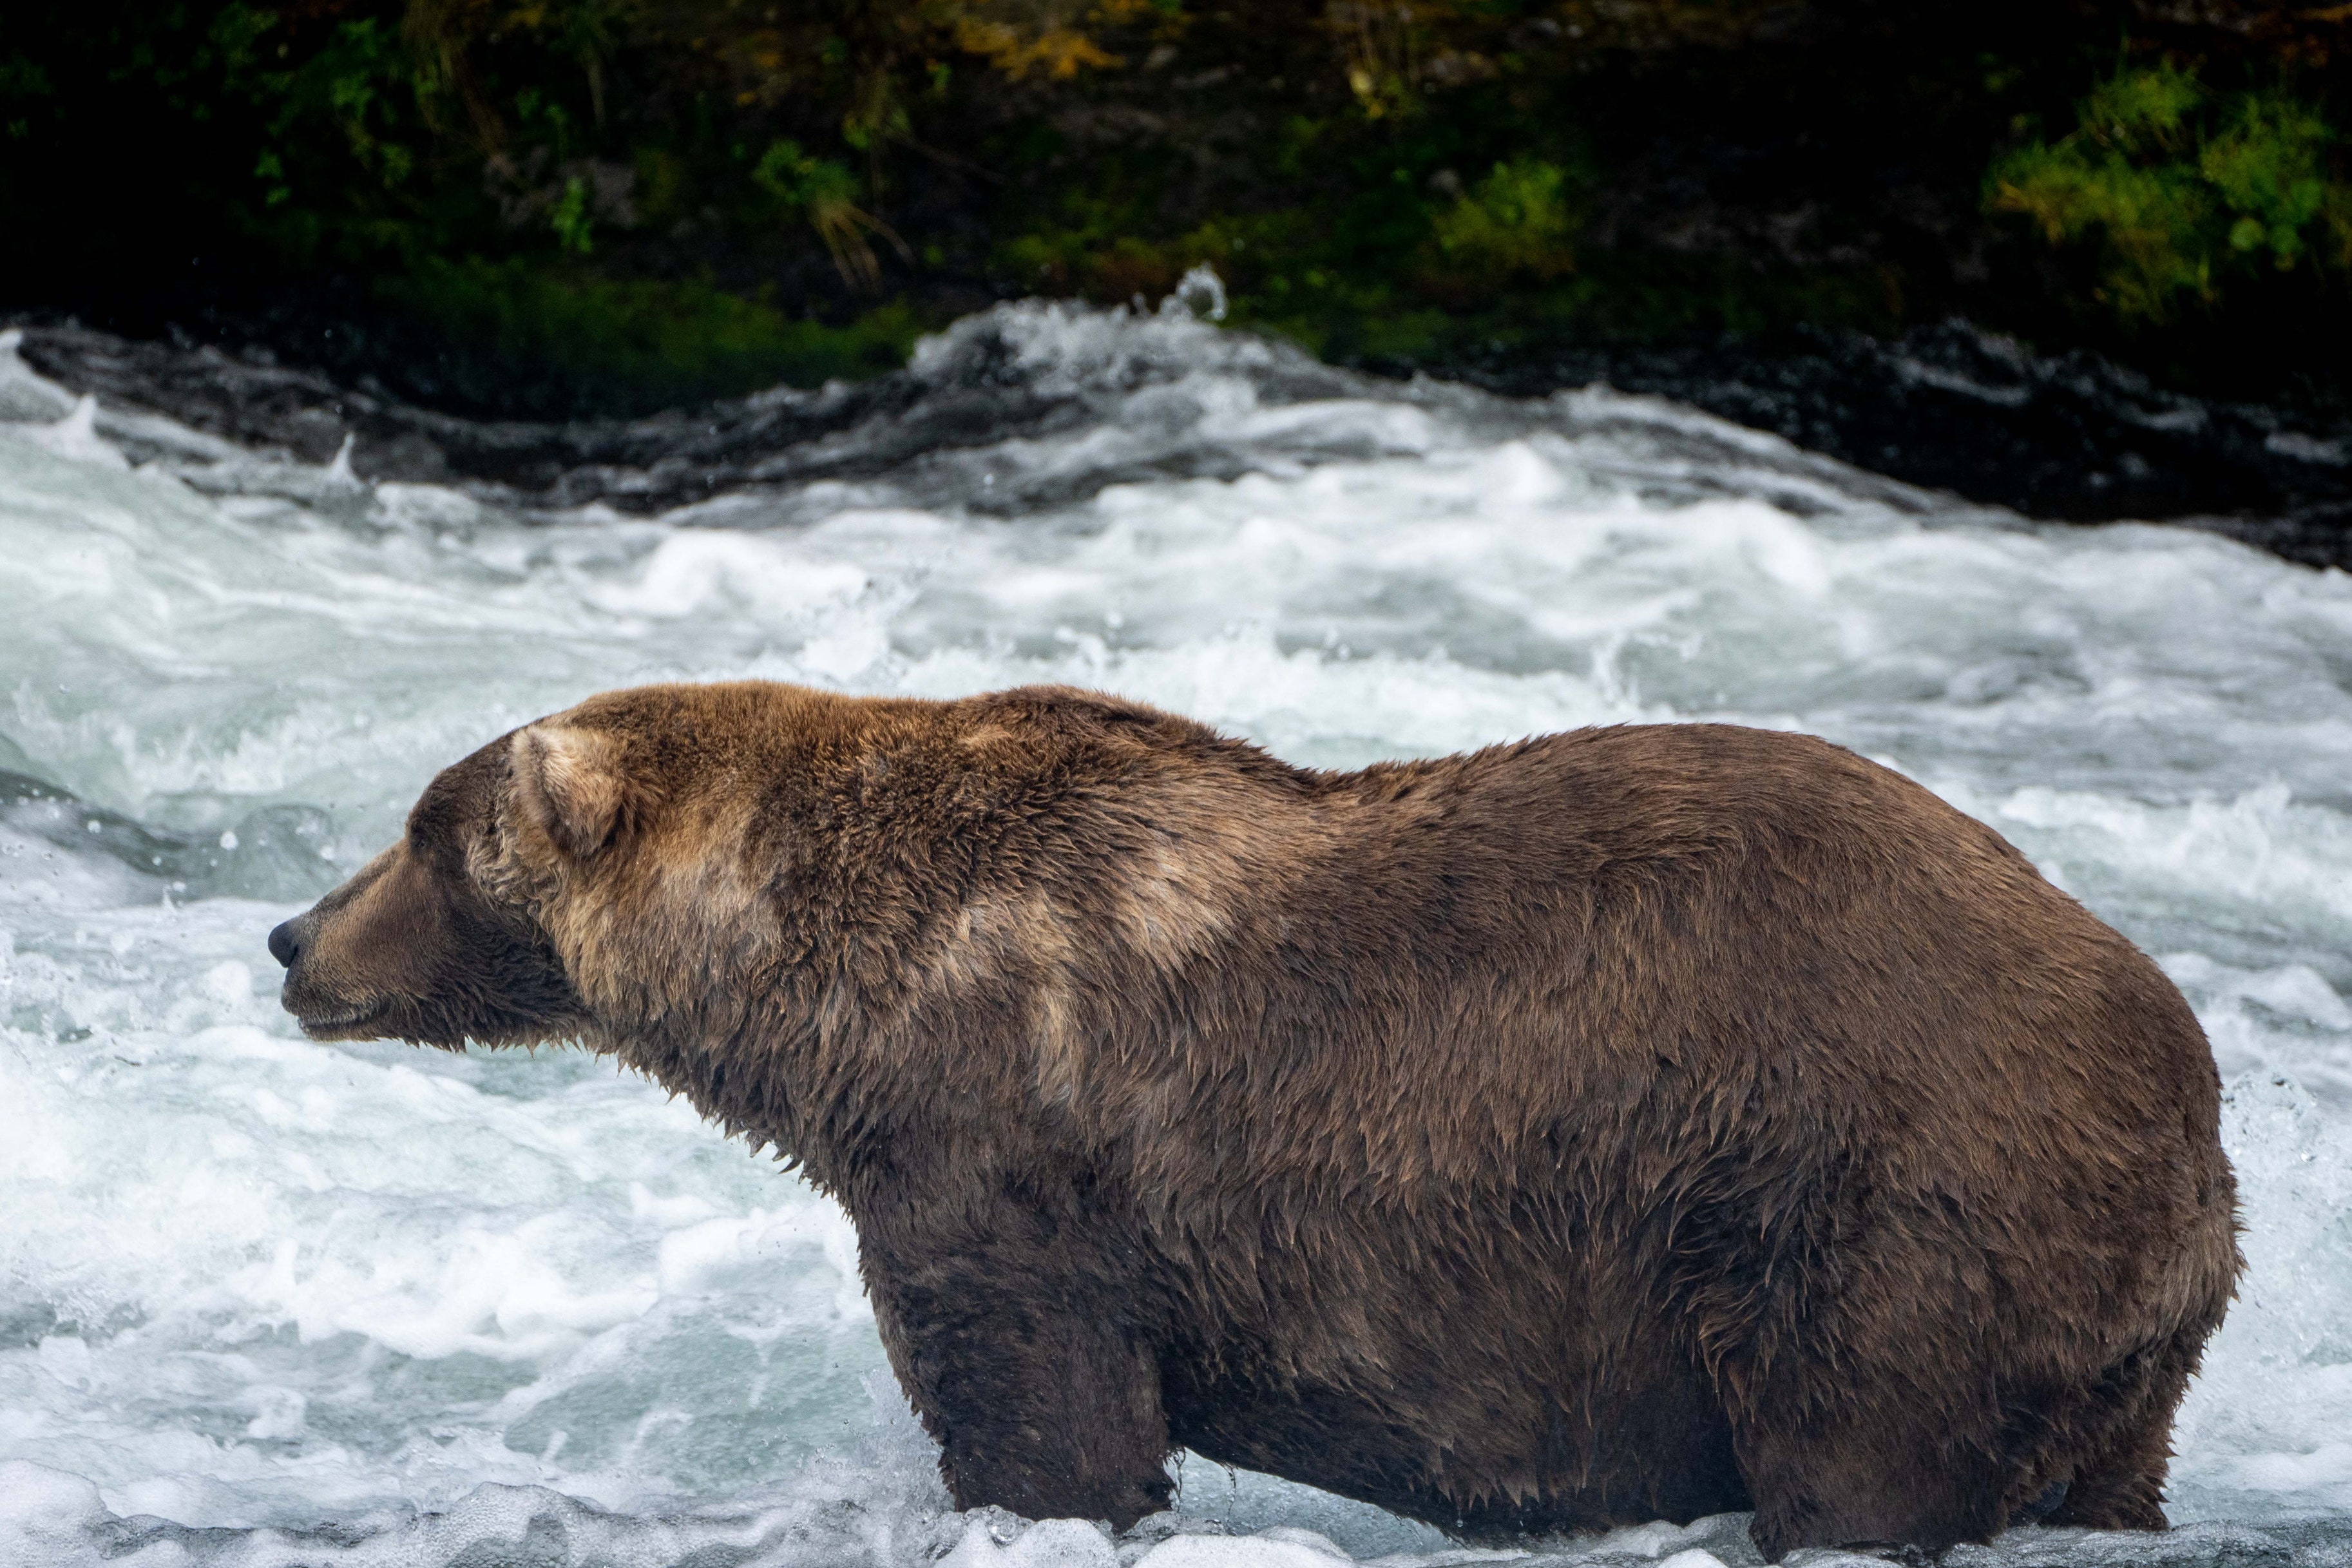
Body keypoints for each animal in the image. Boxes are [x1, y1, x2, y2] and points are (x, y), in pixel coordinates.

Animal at [266, 680, 2240, 1558]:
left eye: (424, 831)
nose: (291, 937)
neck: (820, 1002)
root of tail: (2197, 1106)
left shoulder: (1007, 1141)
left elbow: (1039, 1410)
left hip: (1878, 1203)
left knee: (1854, 1455)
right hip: (2109, 1336)